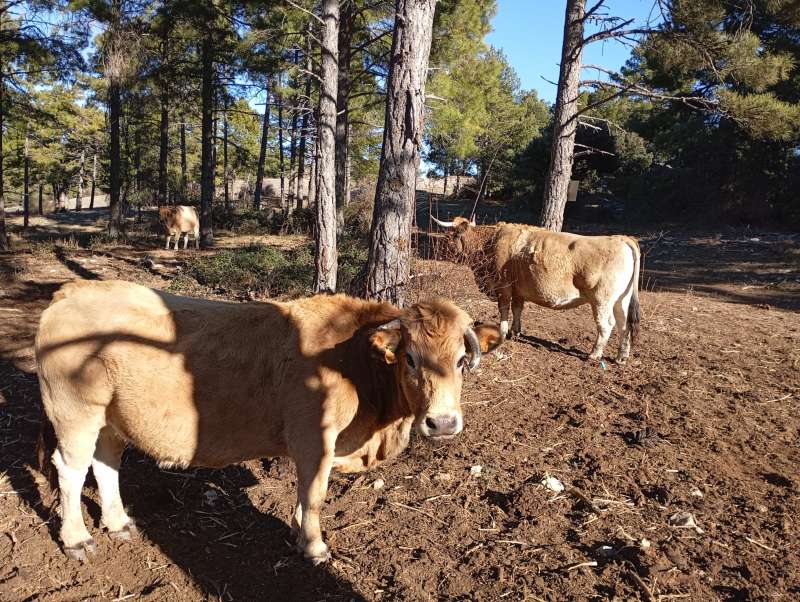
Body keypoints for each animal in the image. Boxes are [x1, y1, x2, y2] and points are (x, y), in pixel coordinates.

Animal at [36, 280, 506, 564]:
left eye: (461, 360)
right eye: (410, 358)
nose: (443, 423)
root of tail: (76, 289)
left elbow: (304, 493)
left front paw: (298, 528)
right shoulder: (314, 437)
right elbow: (315, 492)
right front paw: (314, 546)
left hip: (111, 418)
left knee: (105, 464)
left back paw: (118, 522)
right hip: (75, 411)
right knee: (71, 471)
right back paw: (77, 538)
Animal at [432, 217, 644, 360]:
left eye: (449, 236)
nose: (438, 251)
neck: (490, 242)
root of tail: (621, 239)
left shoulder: (503, 286)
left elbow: (504, 309)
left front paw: (503, 332)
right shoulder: (518, 289)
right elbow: (517, 309)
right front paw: (516, 332)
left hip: (602, 300)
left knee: (606, 325)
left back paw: (594, 354)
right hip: (621, 300)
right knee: (624, 324)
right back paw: (621, 356)